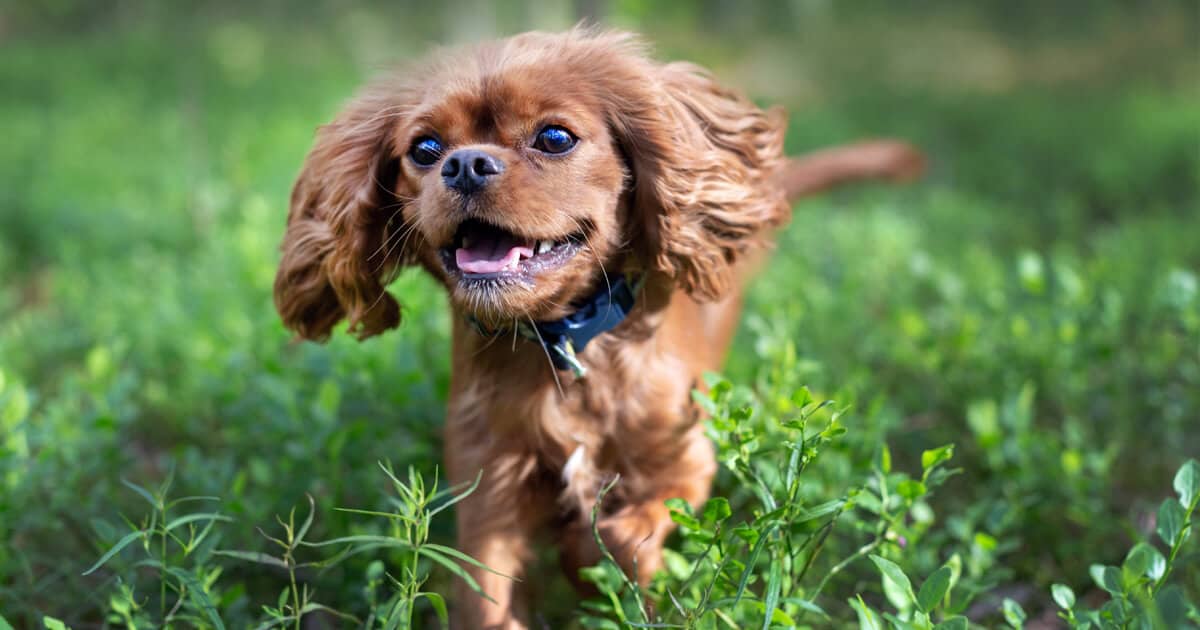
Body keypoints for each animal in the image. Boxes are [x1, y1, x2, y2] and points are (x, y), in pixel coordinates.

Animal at [276, 27, 921, 624]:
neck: (565, 342)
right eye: (426, 149)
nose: (465, 164)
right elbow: (485, 595)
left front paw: (594, 573)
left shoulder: (686, 464)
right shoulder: (490, 485)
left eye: (554, 138)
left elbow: (619, 538)